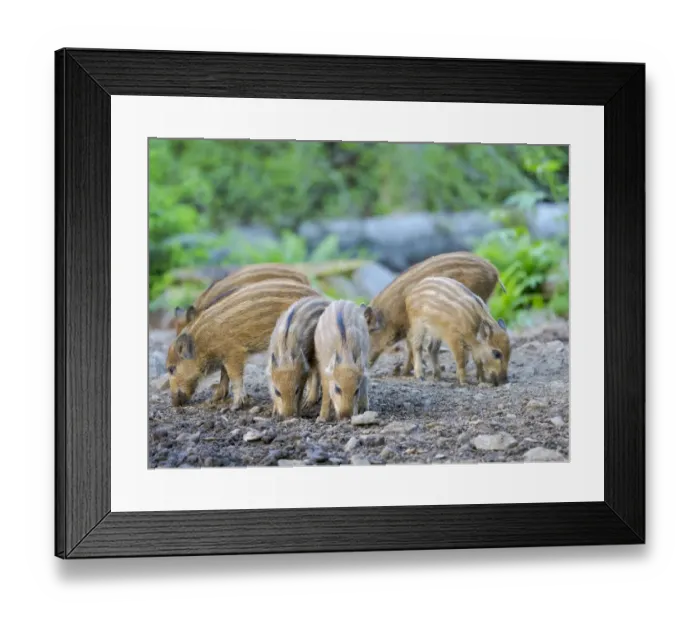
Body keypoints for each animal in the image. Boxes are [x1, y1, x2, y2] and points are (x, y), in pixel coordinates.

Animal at [166, 279, 321, 409]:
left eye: (171, 369)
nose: (173, 403)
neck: (202, 343)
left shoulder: (234, 353)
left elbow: (235, 377)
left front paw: (235, 406)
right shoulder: (225, 356)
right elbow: (224, 375)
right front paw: (213, 400)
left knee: (314, 371)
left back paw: (309, 402)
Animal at [362, 251, 505, 376]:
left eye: (371, 330)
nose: (365, 365)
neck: (390, 315)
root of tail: (495, 271)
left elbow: (411, 345)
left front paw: (405, 372)